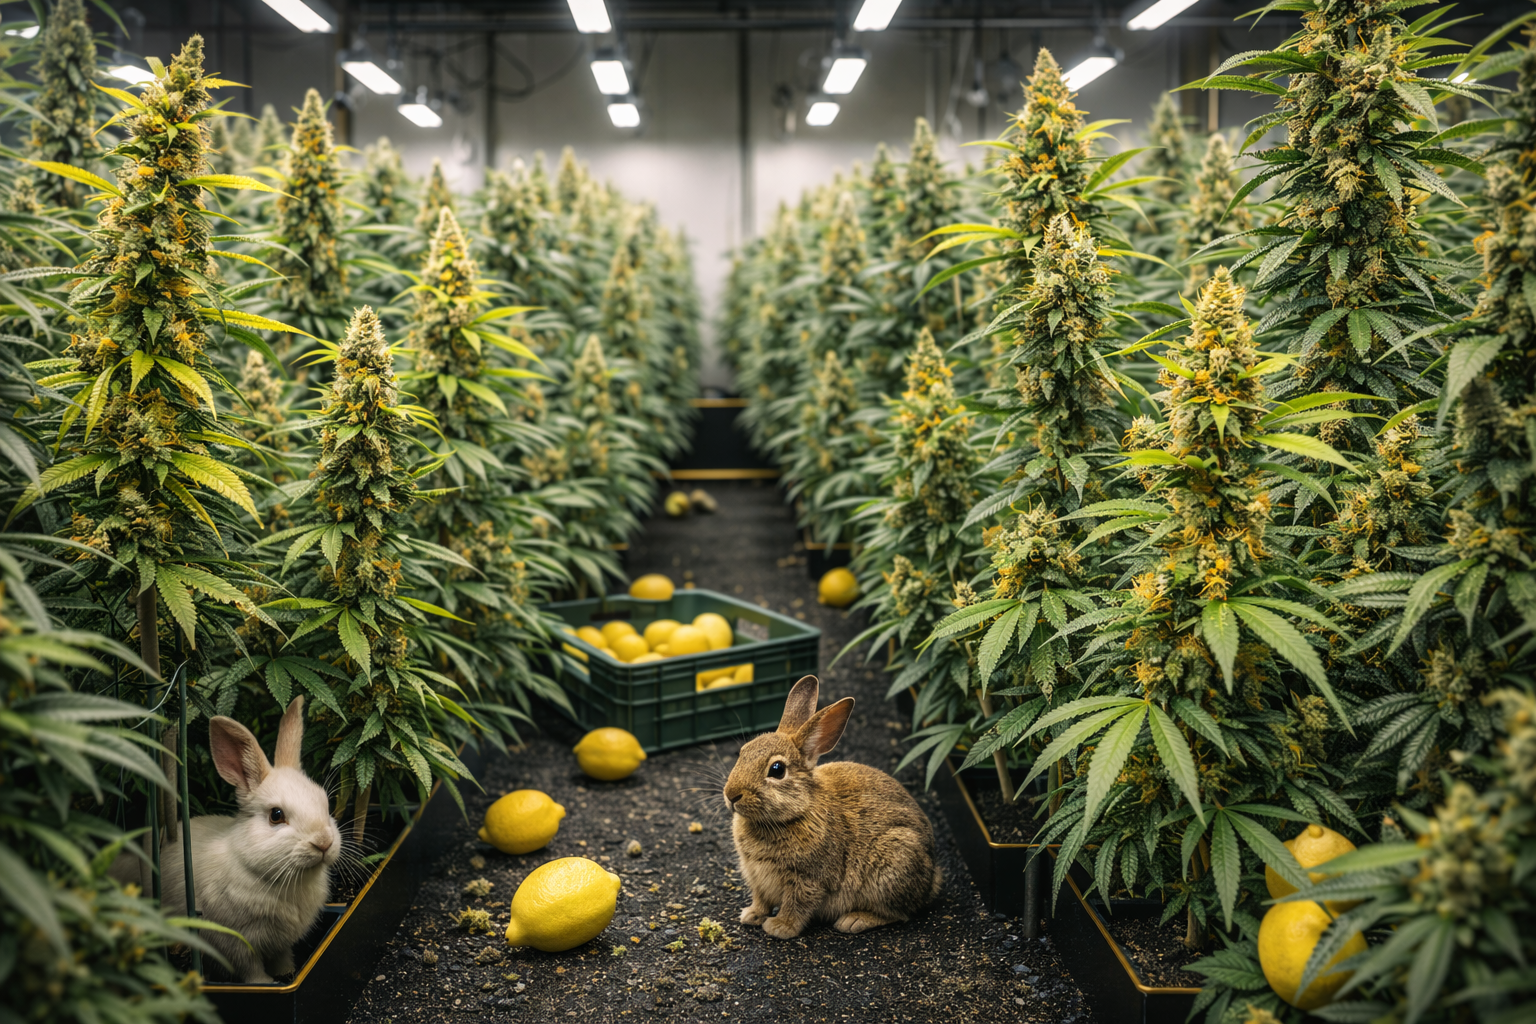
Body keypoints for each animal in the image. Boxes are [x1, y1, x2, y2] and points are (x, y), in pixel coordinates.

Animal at [111, 696, 341, 983]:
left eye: (325, 802)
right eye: (276, 815)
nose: (323, 842)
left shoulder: (281, 942)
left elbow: (281, 957)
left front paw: (286, 973)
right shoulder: (233, 943)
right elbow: (251, 969)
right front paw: (265, 983)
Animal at [723, 675, 941, 938]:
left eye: (777, 770)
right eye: (742, 753)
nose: (731, 795)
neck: (796, 812)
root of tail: (932, 880)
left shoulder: (809, 879)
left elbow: (797, 905)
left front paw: (779, 928)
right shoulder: (756, 878)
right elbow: (761, 900)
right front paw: (751, 915)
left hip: (894, 863)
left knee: (899, 913)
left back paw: (854, 920)